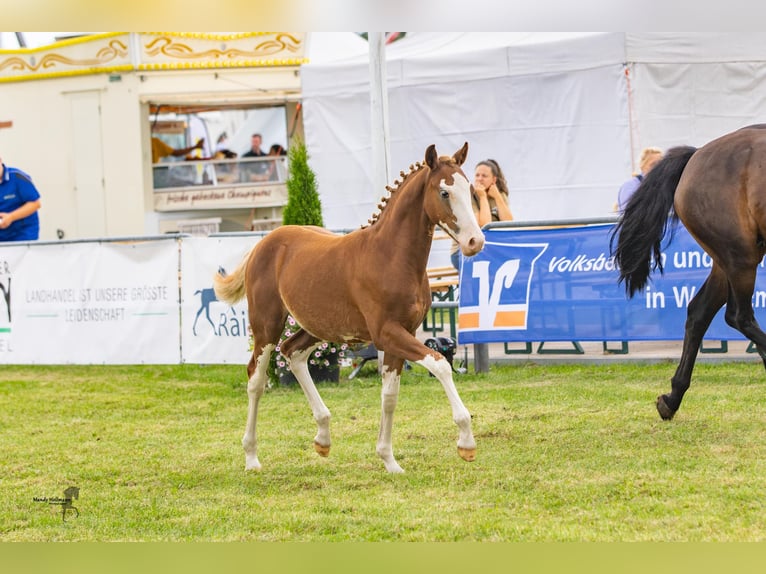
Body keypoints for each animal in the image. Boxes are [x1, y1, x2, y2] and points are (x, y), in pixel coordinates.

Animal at [213, 143, 484, 472]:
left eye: (470, 189)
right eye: (444, 192)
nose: (475, 241)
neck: (391, 256)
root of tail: (263, 243)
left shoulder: (403, 334)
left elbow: (390, 395)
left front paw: (389, 460)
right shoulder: (386, 333)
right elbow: (441, 364)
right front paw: (466, 442)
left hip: (317, 326)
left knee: (293, 353)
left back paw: (323, 437)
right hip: (267, 325)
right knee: (256, 377)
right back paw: (252, 457)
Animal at [616, 126, 766, 420]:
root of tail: (696, 156)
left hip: (727, 259)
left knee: (700, 312)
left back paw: (672, 398)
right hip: (739, 255)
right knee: (738, 316)